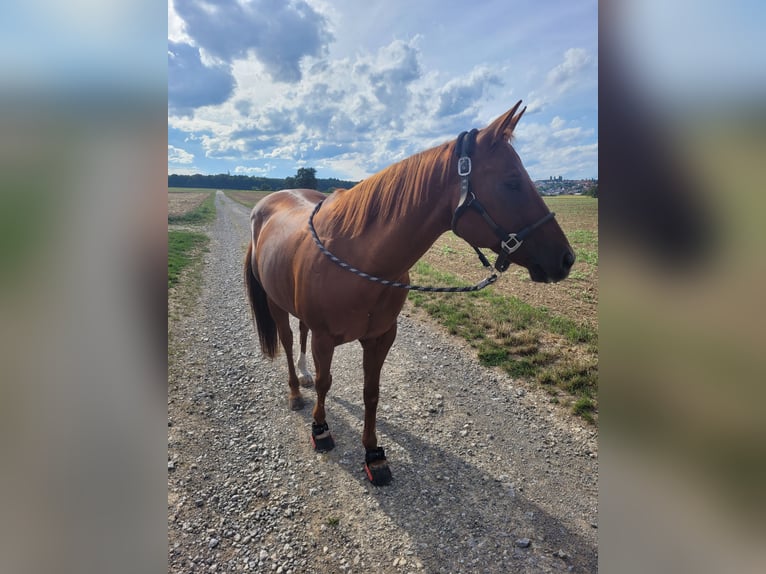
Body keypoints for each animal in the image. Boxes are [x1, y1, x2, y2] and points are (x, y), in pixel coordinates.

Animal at [244, 101, 575, 485]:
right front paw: (321, 429)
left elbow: (371, 393)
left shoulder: (381, 337)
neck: (360, 260)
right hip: (274, 303)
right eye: (512, 181)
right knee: (285, 340)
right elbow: (327, 383)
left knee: (300, 332)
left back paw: (304, 374)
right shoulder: (326, 339)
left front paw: (373, 453)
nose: (566, 259)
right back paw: (296, 391)